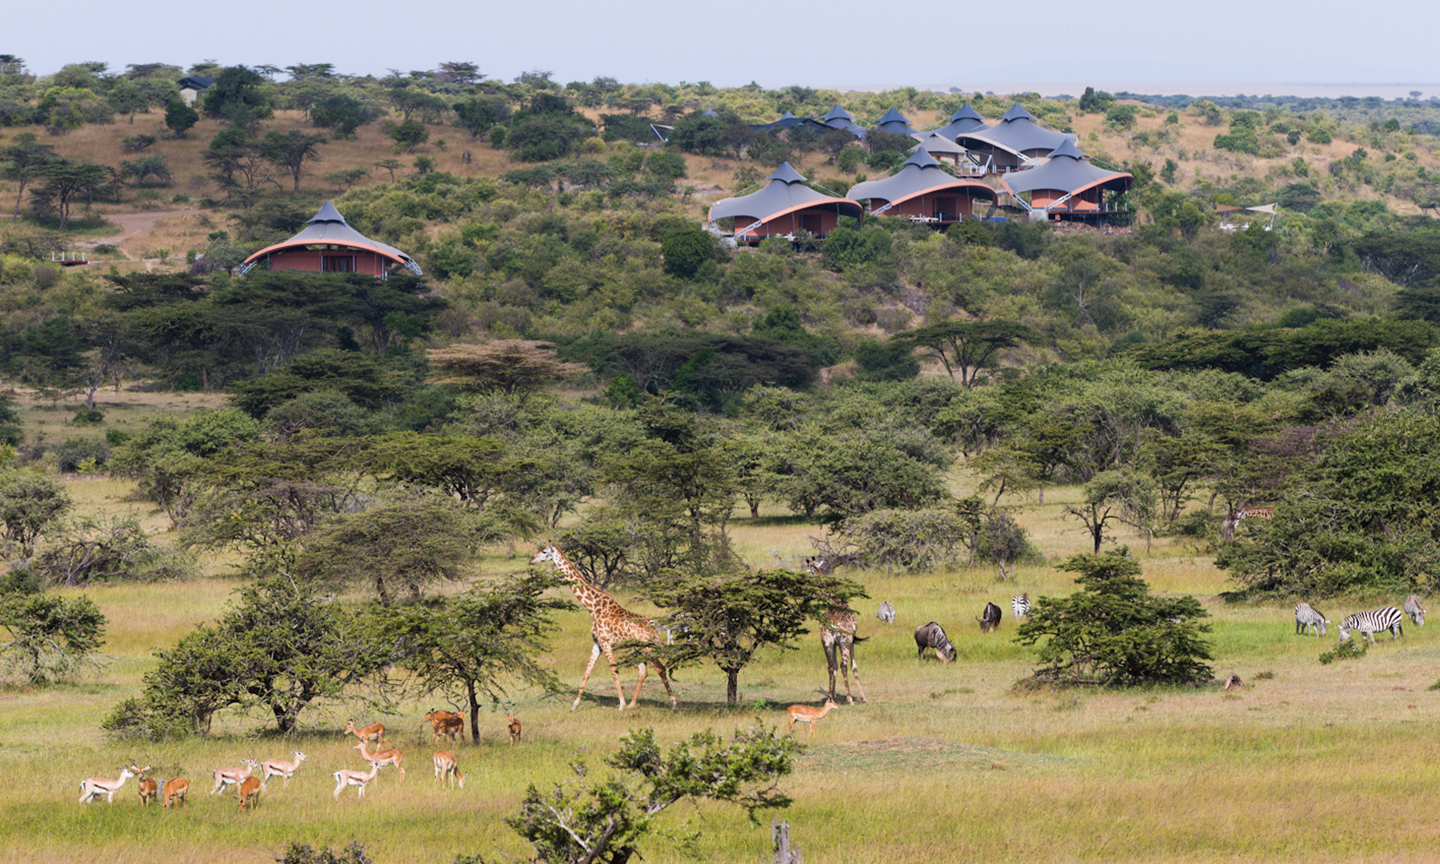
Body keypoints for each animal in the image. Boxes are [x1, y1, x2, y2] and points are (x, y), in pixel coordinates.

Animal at [532, 544, 676, 711]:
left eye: (544, 552)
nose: (531, 560)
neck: (592, 607)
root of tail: (652, 624)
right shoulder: (597, 642)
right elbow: (587, 672)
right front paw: (574, 706)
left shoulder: (605, 641)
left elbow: (614, 670)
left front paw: (621, 704)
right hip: (637, 647)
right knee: (643, 671)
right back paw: (632, 705)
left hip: (646, 646)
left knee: (660, 668)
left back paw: (673, 703)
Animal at [800, 555, 864, 705]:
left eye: (808, 570)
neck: (834, 598)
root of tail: (832, 626)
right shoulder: (851, 640)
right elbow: (854, 666)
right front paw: (863, 697)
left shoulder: (833, 643)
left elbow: (834, 666)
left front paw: (833, 694)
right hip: (844, 642)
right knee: (843, 665)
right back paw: (849, 699)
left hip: (826, 642)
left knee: (830, 666)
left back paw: (830, 697)